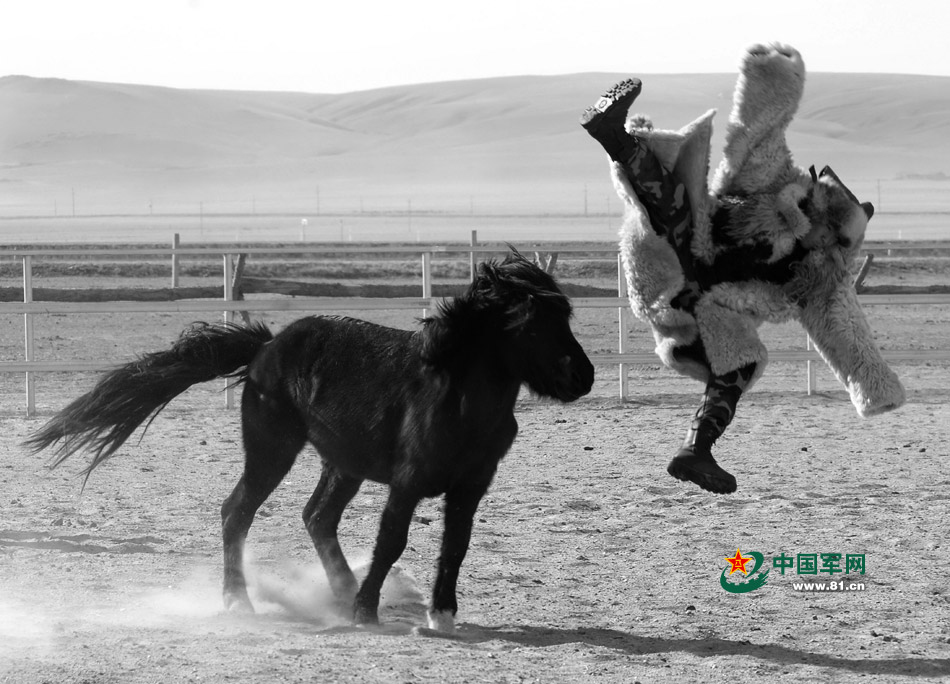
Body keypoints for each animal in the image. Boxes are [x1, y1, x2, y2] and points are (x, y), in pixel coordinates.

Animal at [26, 250, 595, 634]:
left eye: (565, 316)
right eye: (531, 323)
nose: (582, 376)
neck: (457, 399)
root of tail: (266, 347)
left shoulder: (470, 488)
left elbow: (455, 547)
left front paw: (441, 616)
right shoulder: (407, 482)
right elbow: (392, 540)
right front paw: (367, 613)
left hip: (342, 464)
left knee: (317, 517)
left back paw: (339, 593)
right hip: (273, 451)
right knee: (238, 512)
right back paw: (242, 602)